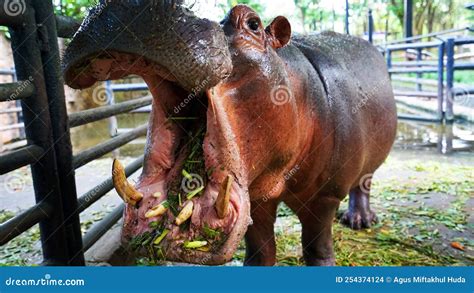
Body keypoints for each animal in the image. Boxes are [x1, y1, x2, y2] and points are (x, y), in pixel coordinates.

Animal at [63, 0, 396, 264]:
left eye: (253, 24)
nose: (133, 4)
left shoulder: (325, 196)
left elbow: (317, 249)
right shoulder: (258, 201)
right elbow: (260, 251)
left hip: (368, 164)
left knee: (363, 183)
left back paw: (359, 221)